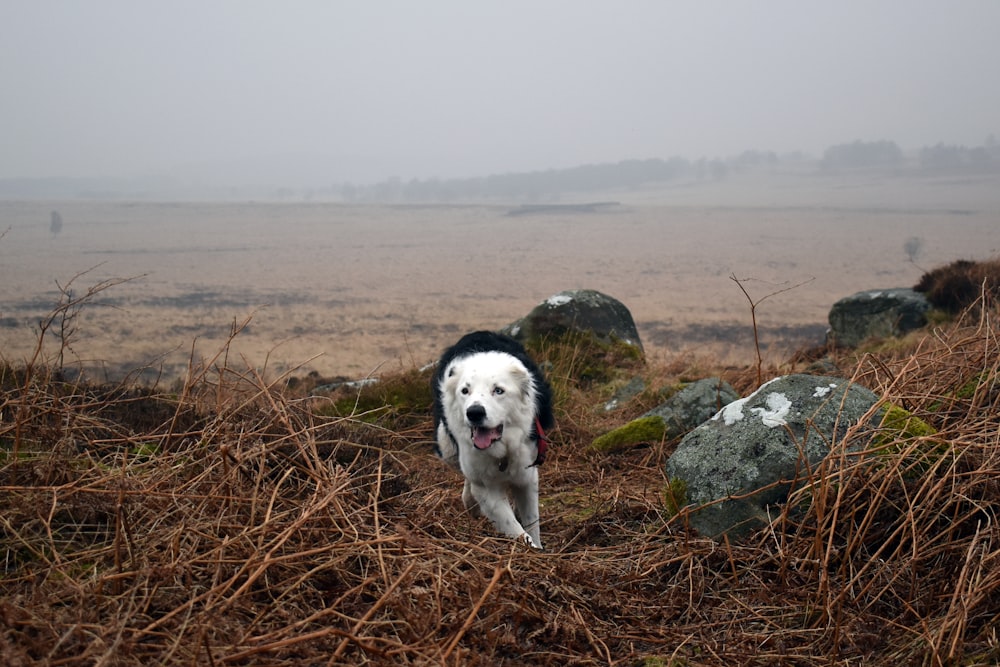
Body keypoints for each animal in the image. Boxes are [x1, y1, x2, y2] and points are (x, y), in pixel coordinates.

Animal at [432, 332, 556, 552]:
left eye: (498, 391)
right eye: (465, 391)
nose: (474, 413)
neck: (500, 449)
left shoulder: (527, 474)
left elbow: (532, 522)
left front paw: (538, 549)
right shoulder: (486, 487)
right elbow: (513, 526)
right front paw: (529, 550)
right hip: (446, 447)